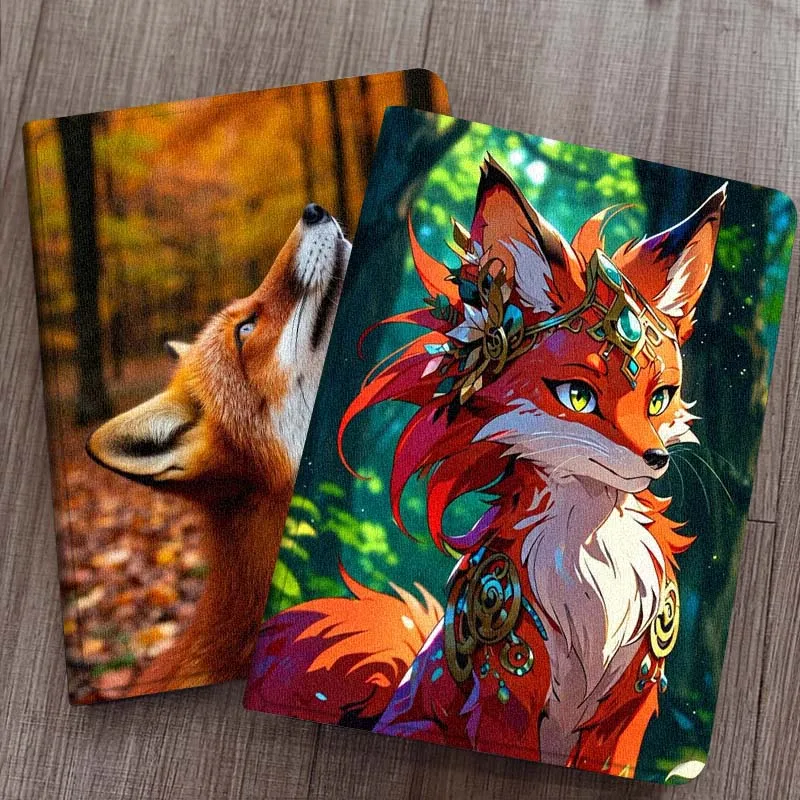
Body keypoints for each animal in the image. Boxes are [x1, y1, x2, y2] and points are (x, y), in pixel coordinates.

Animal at [245, 158, 726, 778]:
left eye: (659, 399)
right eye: (577, 397)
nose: (656, 459)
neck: (593, 553)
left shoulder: (628, 710)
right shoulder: (507, 683)